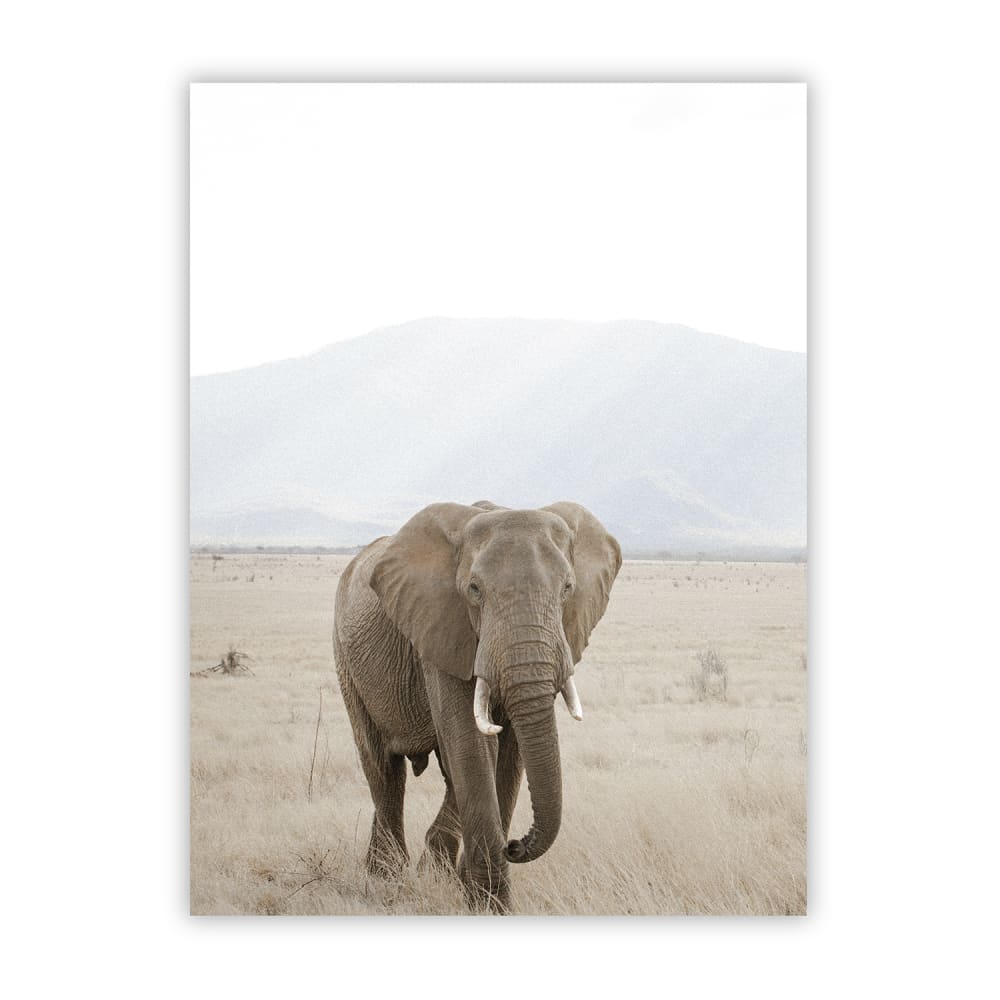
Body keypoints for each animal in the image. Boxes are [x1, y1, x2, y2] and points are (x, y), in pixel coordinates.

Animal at [333, 499, 621, 911]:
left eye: (567, 589)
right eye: (474, 590)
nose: (515, 844)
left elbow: (511, 751)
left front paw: (478, 894)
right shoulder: (442, 628)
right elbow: (471, 744)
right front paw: (489, 906)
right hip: (347, 661)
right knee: (383, 768)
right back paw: (387, 877)